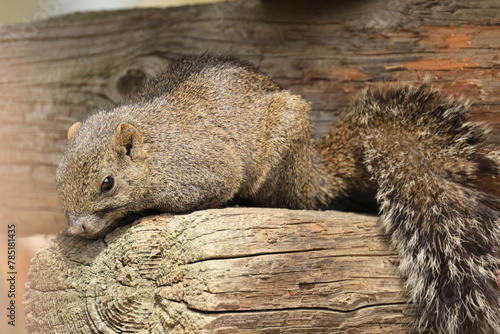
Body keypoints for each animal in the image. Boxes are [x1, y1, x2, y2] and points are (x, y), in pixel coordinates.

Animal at [55, 54, 500, 334]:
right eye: (58, 178)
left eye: (108, 182)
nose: (76, 229)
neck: (155, 147)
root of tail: (313, 173)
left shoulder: (204, 170)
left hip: (281, 158)